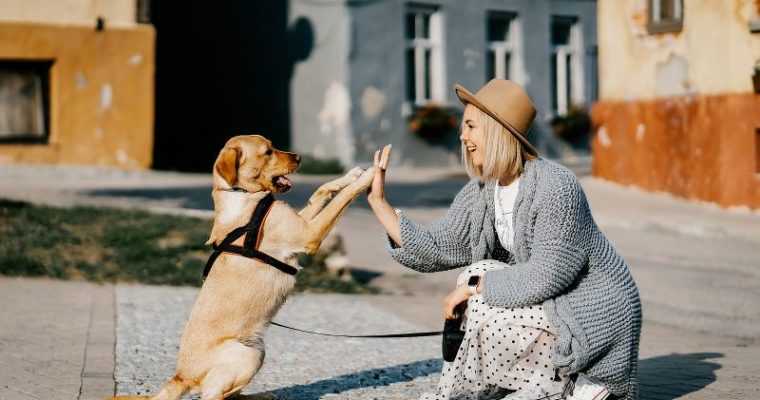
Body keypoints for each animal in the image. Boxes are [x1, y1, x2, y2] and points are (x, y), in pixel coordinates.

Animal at [107, 135, 374, 400]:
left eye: (273, 146)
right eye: (268, 152)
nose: (299, 157)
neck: (242, 195)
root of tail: (181, 376)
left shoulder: (302, 222)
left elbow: (323, 189)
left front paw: (351, 175)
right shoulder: (309, 233)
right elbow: (342, 199)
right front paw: (369, 176)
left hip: (257, 350)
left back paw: (260, 396)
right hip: (247, 355)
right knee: (213, 396)